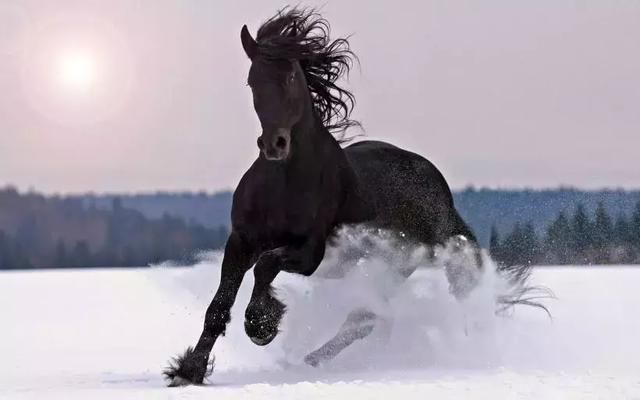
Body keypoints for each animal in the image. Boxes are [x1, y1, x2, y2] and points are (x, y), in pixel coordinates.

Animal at [164, 7, 484, 386]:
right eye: (252, 81)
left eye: (290, 76)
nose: (274, 144)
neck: (284, 183)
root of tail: (441, 191)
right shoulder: (241, 241)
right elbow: (219, 306)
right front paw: (188, 370)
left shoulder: (310, 251)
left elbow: (266, 265)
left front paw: (261, 325)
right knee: (366, 317)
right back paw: (310, 360)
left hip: (397, 263)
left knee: (364, 318)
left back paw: (308, 360)